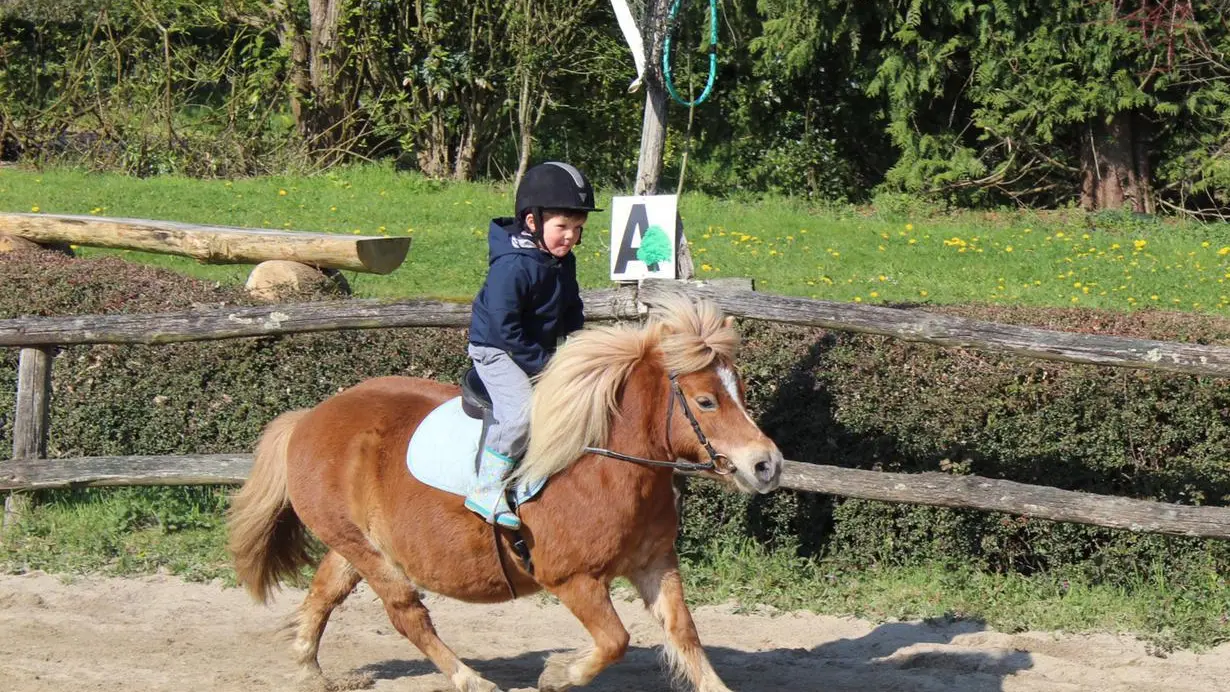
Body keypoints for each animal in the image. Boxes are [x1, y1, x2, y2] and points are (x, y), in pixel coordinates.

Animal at [227, 294, 782, 692]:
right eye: (706, 401)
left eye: (741, 391)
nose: (767, 465)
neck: (605, 466)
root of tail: (309, 418)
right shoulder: (572, 579)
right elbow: (614, 641)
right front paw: (556, 674)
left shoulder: (654, 563)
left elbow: (684, 635)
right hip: (366, 552)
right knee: (406, 614)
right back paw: (470, 680)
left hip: (357, 546)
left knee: (325, 593)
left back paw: (310, 671)